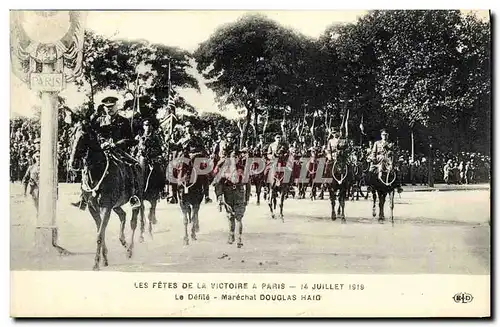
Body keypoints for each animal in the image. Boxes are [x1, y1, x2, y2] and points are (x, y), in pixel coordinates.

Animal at [68, 123, 146, 272]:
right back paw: (123, 241)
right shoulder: (93, 208)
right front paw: (104, 258)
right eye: (72, 135)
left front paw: (96, 263)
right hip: (116, 205)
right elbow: (101, 231)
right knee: (122, 215)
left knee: (133, 222)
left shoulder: (106, 208)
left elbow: (100, 234)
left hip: (136, 199)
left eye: (84, 137)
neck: (96, 173)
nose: (73, 163)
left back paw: (130, 249)